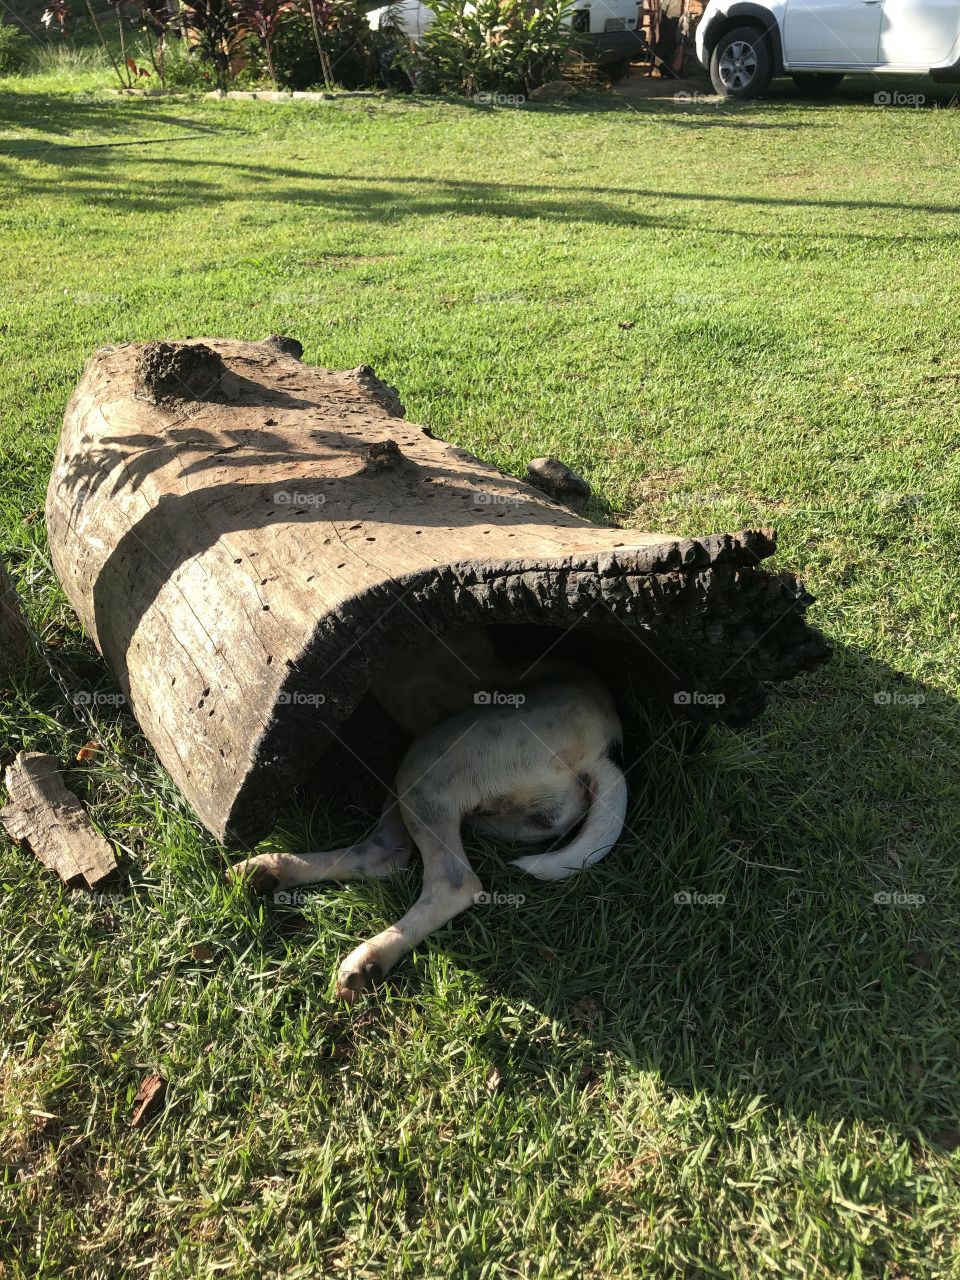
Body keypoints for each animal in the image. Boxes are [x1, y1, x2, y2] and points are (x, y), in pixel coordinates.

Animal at [229, 627, 627, 998]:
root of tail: (600, 755)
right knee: (383, 856)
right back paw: (269, 870)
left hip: (428, 764)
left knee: (451, 882)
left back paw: (371, 957)